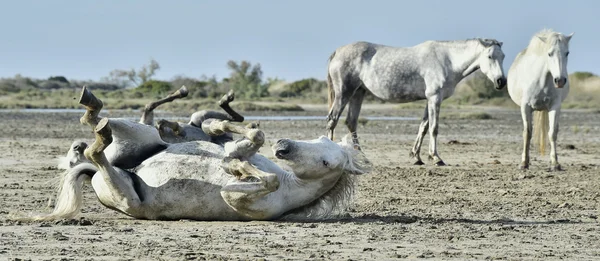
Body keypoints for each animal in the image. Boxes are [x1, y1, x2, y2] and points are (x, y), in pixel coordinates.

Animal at [35, 86, 372, 220]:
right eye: (319, 137)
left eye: (327, 161)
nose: (283, 147)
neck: (292, 184)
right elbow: (248, 136)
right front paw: (225, 139)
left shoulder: (238, 197)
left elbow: (256, 179)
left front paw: (235, 166)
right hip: (141, 136)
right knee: (95, 125)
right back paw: (94, 107)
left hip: (126, 194)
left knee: (96, 151)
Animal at [328, 38, 506, 165]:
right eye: (490, 56)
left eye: (503, 56)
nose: (501, 81)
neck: (447, 60)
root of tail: (337, 52)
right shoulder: (435, 98)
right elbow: (434, 128)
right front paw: (436, 157)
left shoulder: (430, 99)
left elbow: (423, 127)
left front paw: (417, 157)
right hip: (344, 93)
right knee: (332, 120)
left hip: (358, 93)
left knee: (351, 122)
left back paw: (363, 158)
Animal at [508, 29, 576, 171]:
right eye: (549, 53)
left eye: (567, 53)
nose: (560, 81)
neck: (541, 80)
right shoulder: (525, 107)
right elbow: (527, 133)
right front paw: (524, 163)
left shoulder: (555, 107)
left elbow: (552, 133)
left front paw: (555, 163)